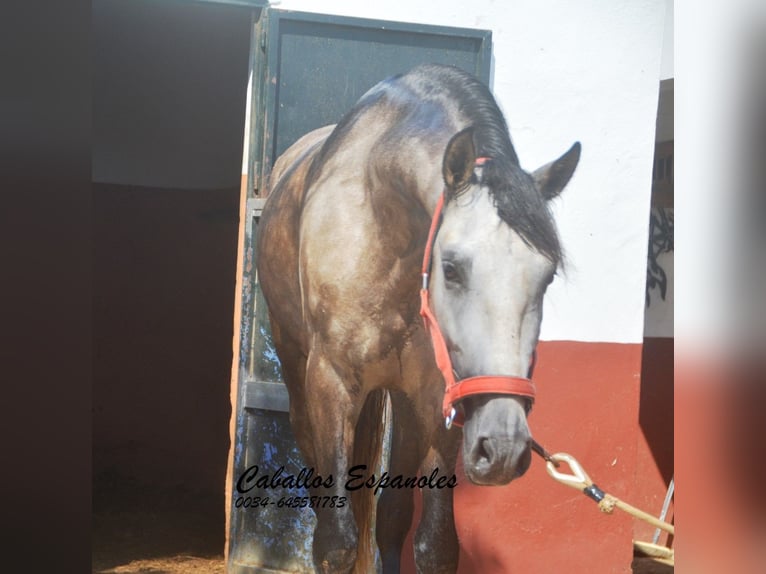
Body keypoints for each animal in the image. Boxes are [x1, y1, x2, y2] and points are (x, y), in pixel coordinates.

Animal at [256, 63, 580, 574]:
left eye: (547, 276)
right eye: (451, 267)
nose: (504, 444)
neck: (379, 216)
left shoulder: (437, 396)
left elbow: (432, 543)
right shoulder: (330, 383)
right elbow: (335, 542)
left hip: (404, 403)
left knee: (391, 515)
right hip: (297, 376)